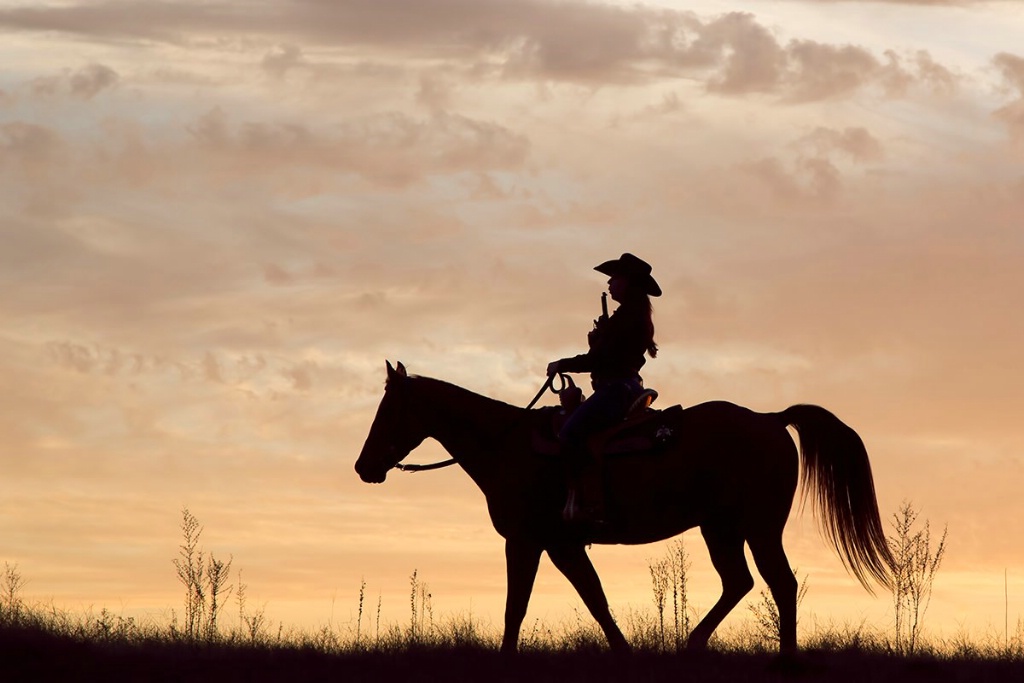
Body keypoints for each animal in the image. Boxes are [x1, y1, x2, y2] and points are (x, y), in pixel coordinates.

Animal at [354, 360, 897, 655]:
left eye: (388, 410)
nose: (364, 467)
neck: (507, 445)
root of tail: (770, 419)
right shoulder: (563, 545)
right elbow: (595, 599)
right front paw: (624, 652)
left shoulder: (526, 541)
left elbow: (515, 607)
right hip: (720, 528)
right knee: (739, 583)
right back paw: (691, 645)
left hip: (759, 527)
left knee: (780, 585)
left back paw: (783, 661)